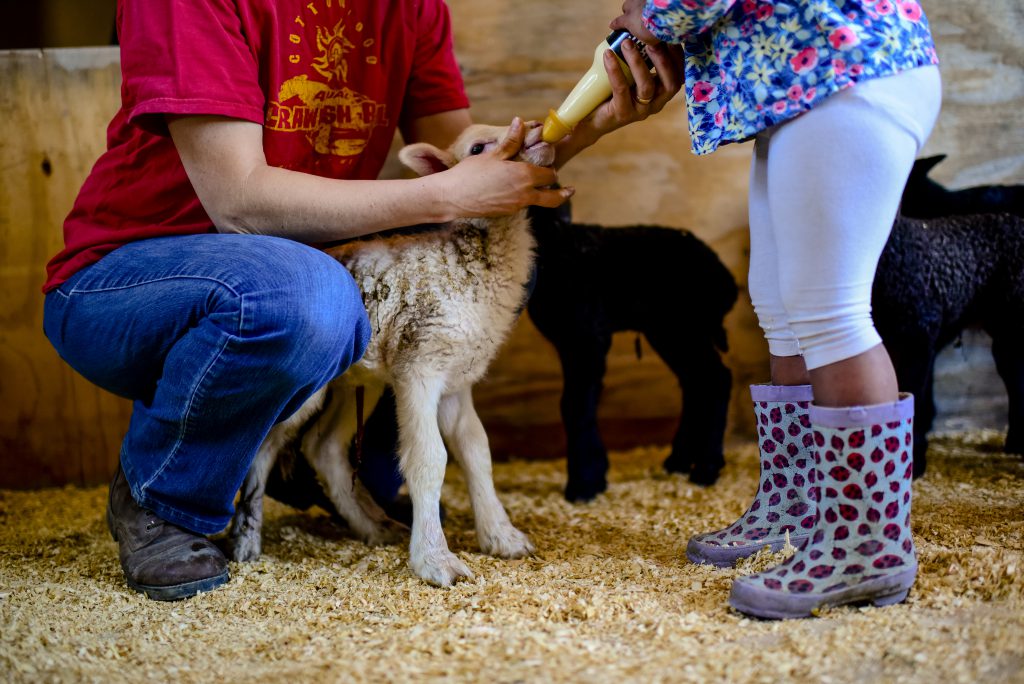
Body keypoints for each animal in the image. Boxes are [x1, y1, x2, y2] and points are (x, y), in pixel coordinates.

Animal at [225, 120, 548, 585]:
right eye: (477, 148)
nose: (537, 128)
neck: (470, 262)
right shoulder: (420, 364)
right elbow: (429, 458)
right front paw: (436, 560)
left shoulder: (456, 376)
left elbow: (477, 451)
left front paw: (502, 537)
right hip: (310, 386)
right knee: (263, 444)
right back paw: (246, 539)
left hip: (355, 379)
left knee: (323, 447)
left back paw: (373, 527)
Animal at [528, 204, 737, 501]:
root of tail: (726, 280)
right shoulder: (570, 340)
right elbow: (574, 403)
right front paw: (595, 474)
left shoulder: (588, 335)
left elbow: (575, 404)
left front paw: (584, 484)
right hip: (667, 332)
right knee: (695, 383)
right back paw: (679, 461)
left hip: (685, 327)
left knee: (716, 379)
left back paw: (706, 468)